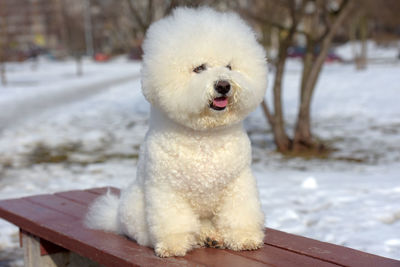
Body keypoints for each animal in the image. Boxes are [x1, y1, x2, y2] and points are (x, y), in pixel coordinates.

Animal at [85, 6, 268, 258]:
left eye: (230, 67)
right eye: (199, 68)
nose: (223, 85)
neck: (205, 137)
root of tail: (115, 218)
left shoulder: (238, 183)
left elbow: (239, 214)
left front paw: (245, 238)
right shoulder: (167, 188)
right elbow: (173, 221)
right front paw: (173, 245)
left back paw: (211, 237)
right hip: (136, 206)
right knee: (144, 232)